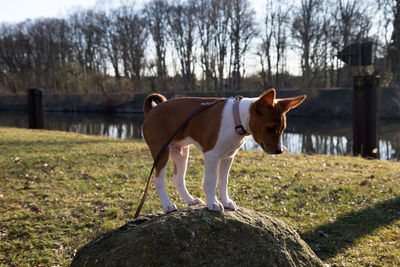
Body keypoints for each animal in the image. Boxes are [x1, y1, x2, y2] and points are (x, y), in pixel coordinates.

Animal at [142, 89, 304, 214]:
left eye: (282, 129)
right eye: (270, 128)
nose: (279, 151)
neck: (236, 119)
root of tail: (151, 110)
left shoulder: (228, 156)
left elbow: (223, 181)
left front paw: (226, 201)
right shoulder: (212, 155)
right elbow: (211, 182)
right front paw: (213, 203)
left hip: (181, 152)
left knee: (178, 179)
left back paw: (191, 201)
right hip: (162, 152)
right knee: (158, 180)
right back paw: (167, 205)